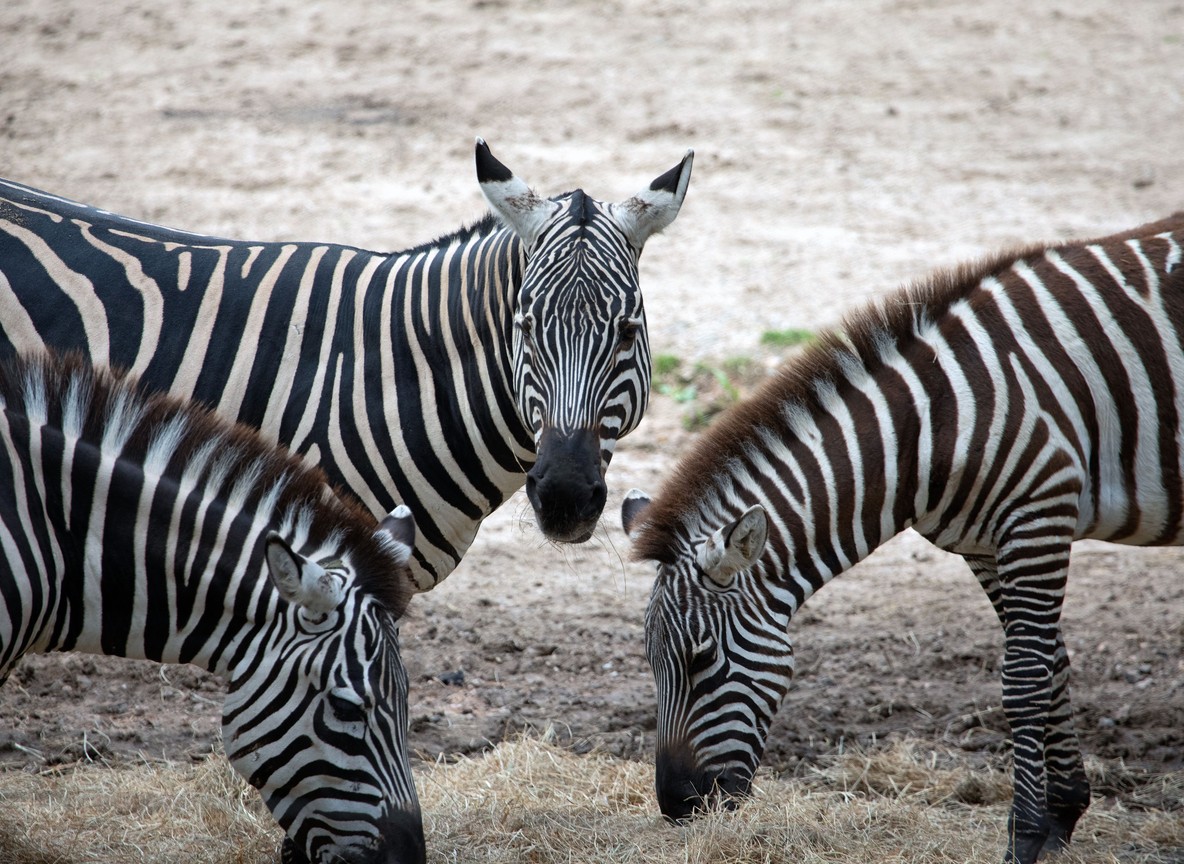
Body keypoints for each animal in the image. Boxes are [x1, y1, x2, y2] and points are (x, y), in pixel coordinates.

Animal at [622, 213, 1184, 863]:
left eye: (702, 659)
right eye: (650, 662)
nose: (676, 808)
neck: (931, 427)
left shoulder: (1040, 513)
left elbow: (1024, 680)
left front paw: (1023, 838)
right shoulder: (985, 544)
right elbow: (1054, 665)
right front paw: (1062, 816)